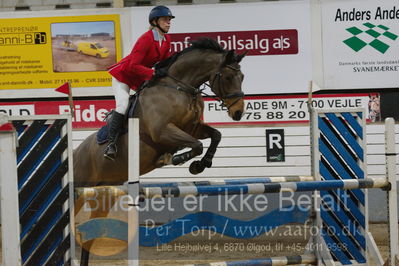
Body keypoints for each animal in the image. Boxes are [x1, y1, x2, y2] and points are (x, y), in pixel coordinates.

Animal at [73, 38, 245, 264]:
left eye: (242, 77)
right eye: (227, 77)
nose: (238, 112)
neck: (179, 87)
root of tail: (75, 153)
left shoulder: (193, 128)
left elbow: (215, 135)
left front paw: (201, 164)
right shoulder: (163, 131)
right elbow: (195, 145)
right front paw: (176, 159)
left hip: (104, 195)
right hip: (81, 187)